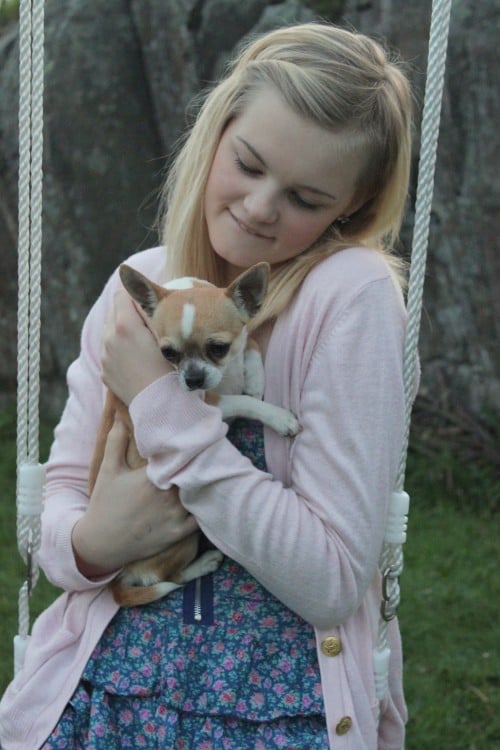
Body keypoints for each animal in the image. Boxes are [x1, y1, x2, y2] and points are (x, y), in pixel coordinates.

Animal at [88, 262, 298, 608]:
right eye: (167, 353)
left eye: (218, 348)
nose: (193, 379)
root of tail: (119, 577)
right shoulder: (212, 404)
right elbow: (246, 402)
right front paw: (278, 417)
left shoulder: (240, 342)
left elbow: (251, 343)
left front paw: (255, 378)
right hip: (182, 541)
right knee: (167, 578)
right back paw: (203, 564)